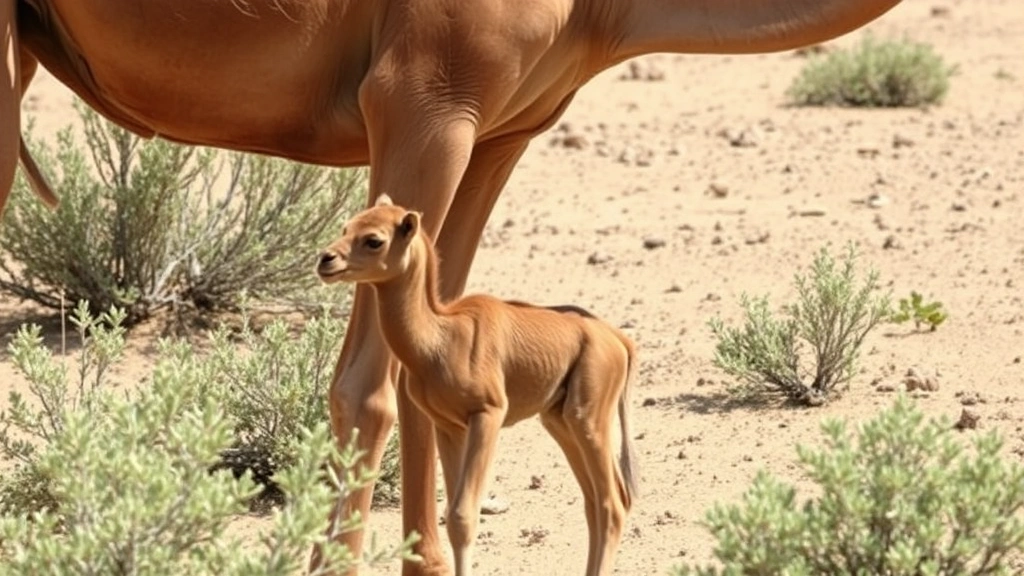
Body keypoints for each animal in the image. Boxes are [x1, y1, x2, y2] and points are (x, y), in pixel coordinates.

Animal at [317, 194, 638, 576]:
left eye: (374, 240)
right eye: (346, 227)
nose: (326, 260)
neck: (438, 341)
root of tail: (619, 341)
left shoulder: (488, 414)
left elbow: (463, 516)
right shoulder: (448, 425)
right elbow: (453, 516)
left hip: (586, 417)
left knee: (612, 503)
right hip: (559, 420)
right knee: (595, 503)